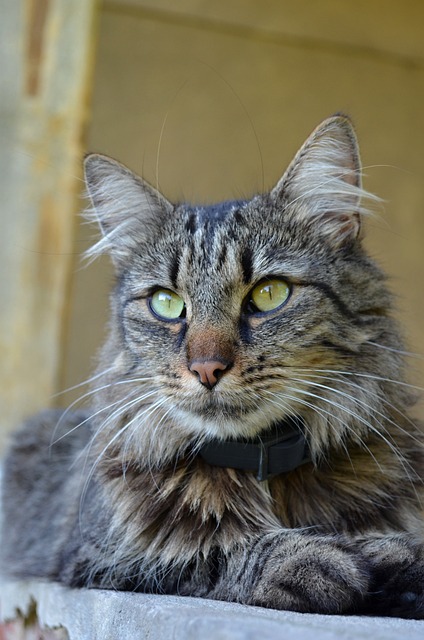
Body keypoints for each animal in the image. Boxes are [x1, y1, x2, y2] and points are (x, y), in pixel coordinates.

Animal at [0, 114, 424, 616]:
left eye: (269, 294)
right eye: (166, 303)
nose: (206, 369)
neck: (260, 468)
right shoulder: (98, 559)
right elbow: (212, 550)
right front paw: (318, 558)